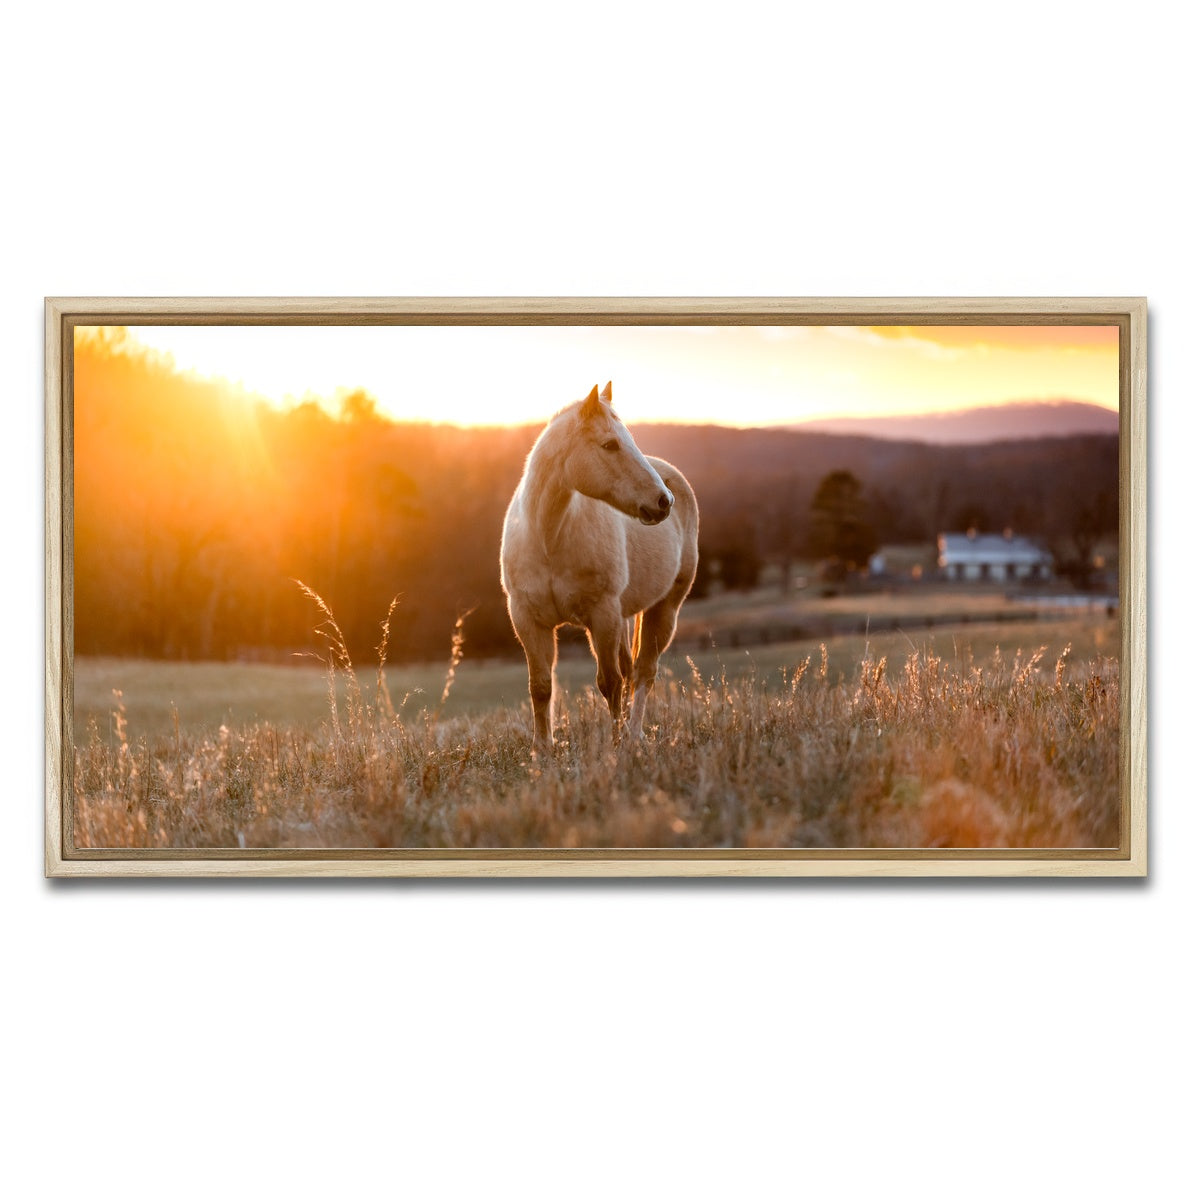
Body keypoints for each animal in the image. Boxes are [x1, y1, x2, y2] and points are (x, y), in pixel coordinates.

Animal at [500, 382, 700, 757]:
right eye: (610, 444)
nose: (663, 501)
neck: (549, 537)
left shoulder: (602, 615)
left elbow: (610, 683)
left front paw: (616, 745)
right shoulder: (527, 619)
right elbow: (541, 686)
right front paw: (542, 750)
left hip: (663, 609)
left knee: (643, 672)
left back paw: (634, 735)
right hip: (624, 616)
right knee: (631, 669)